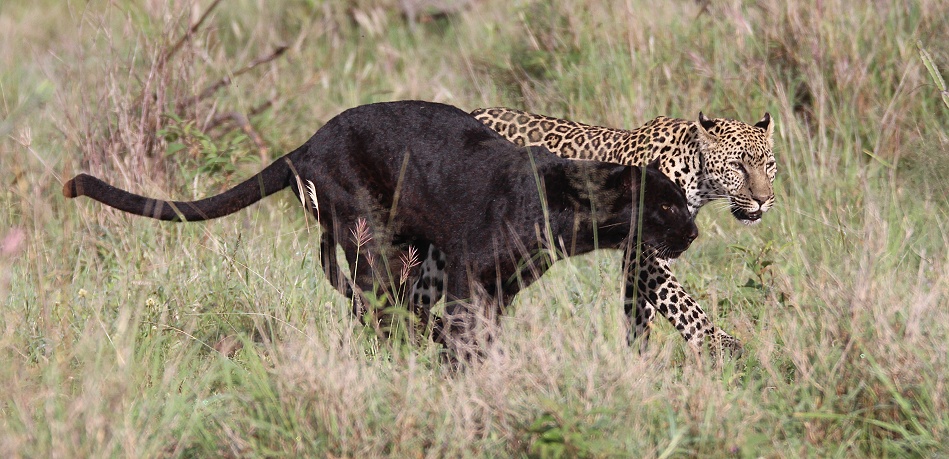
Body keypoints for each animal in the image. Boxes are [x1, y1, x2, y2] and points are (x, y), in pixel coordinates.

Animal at [411, 107, 774, 357]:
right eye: (738, 165)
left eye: (769, 165)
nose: (763, 200)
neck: (696, 174)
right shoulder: (645, 254)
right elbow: (681, 303)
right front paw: (719, 345)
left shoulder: (644, 257)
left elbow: (639, 312)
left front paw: (638, 360)